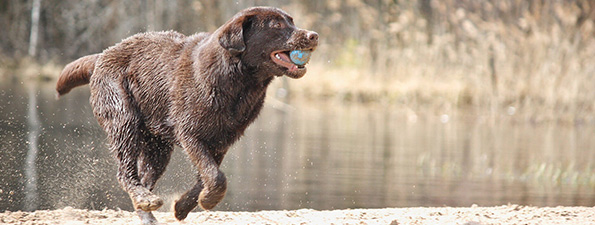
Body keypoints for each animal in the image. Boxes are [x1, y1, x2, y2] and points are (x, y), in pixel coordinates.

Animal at [55, 7, 316, 225]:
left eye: (292, 21)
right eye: (276, 25)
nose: (313, 35)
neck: (238, 82)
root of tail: (102, 55)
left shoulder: (221, 141)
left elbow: (208, 176)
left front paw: (182, 206)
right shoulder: (190, 134)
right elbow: (216, 176)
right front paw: (208, 200)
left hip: (157, 147)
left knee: (145, 178)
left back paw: (147, 212)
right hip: (123, 119)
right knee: (125, 172)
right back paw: (145, 199)